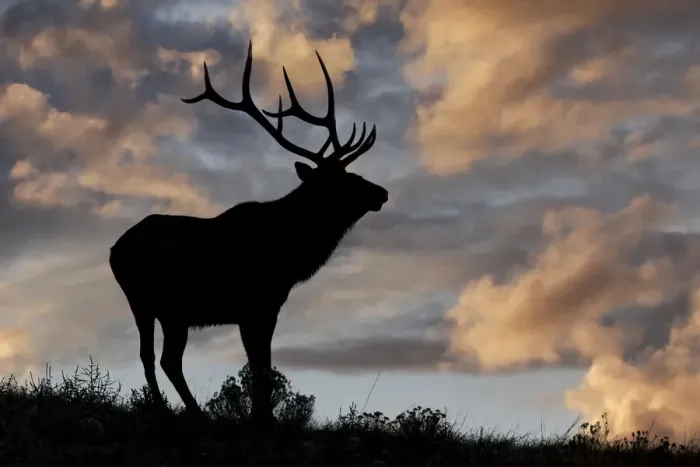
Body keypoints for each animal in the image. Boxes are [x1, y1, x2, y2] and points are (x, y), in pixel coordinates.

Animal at [109, 41, 388, 427]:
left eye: (352, 173)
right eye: (338, 181)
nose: (381, 193)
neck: (290, 254)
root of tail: (113, 251)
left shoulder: (266, 304)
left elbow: (262, 363)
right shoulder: (253, 303)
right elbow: (259, 366)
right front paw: (262, 418)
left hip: (174, 313)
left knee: (168, 360)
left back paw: (193, 412)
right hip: (143, 298)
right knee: (151, 358)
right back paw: (171, 411)